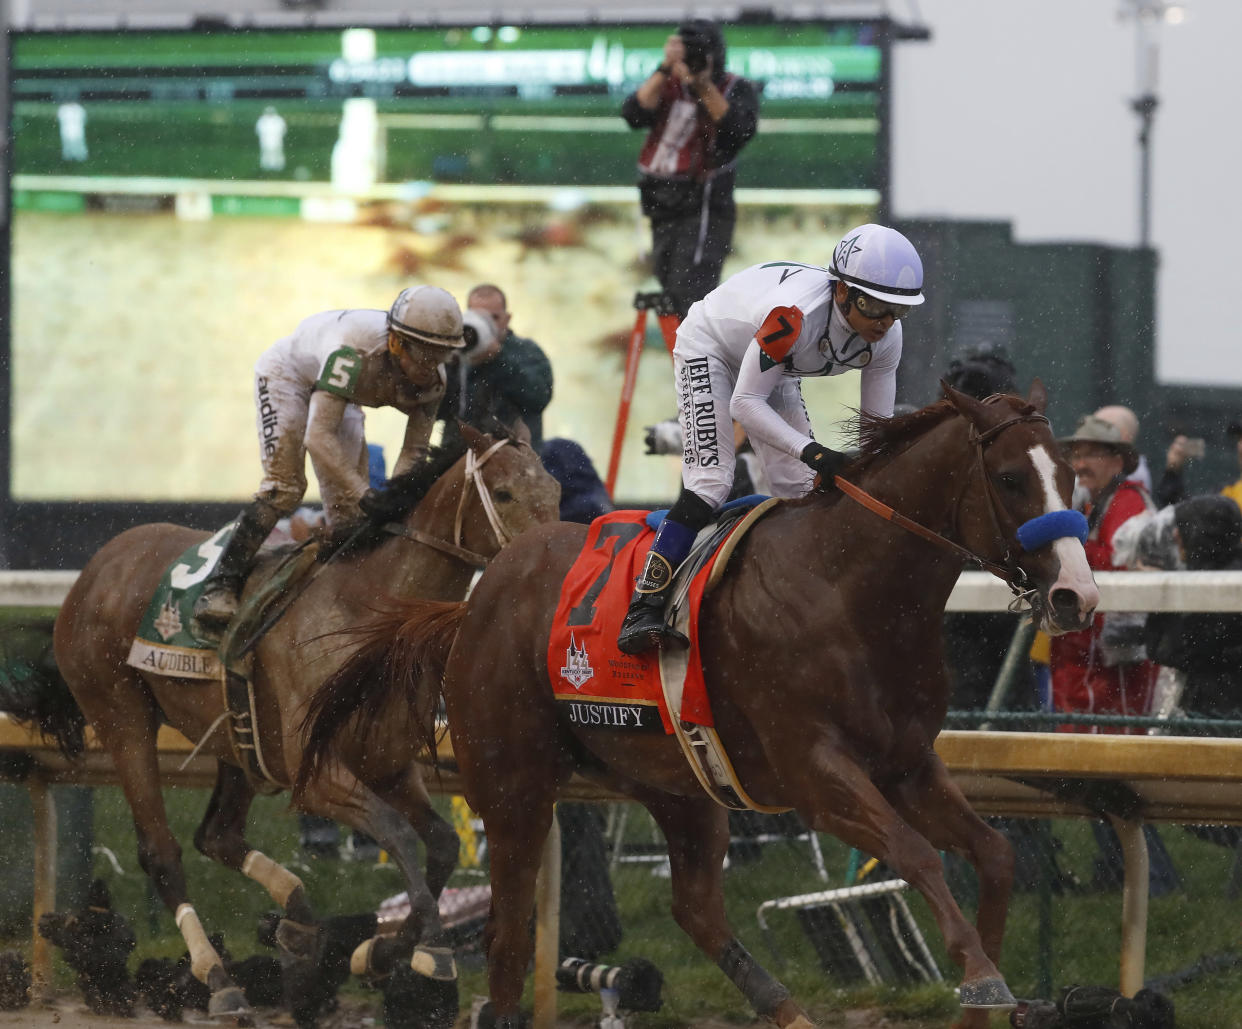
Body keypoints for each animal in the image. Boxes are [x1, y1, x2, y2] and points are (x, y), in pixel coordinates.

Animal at [49, 424, 558, 1017]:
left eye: (553, 489)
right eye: (503, 492)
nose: (546, 564)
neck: (369, 620)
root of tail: (98, 565)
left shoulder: (386, 763)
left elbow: (441, 843)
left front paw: (380, 952)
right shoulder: (314, 775)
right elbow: (396, 832)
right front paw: (431, 949)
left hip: (237, 741)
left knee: (217, 836)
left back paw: (297, 916)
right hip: (120, 716)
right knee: (162, 851)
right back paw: (220, 979)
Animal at [305, 384, 1102, 1027]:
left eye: (1071, 479)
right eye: (1009, 477)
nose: (1076, 596)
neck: (848, 589)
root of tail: (474, 600)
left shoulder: (907, 764)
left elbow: (995, 853)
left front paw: (985, 986)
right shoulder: (817, 774)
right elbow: (915, 854)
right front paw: (980, 974)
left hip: (678, 783)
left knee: (693, 907)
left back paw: (786, 1008)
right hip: (513, 784)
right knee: (507, 933)